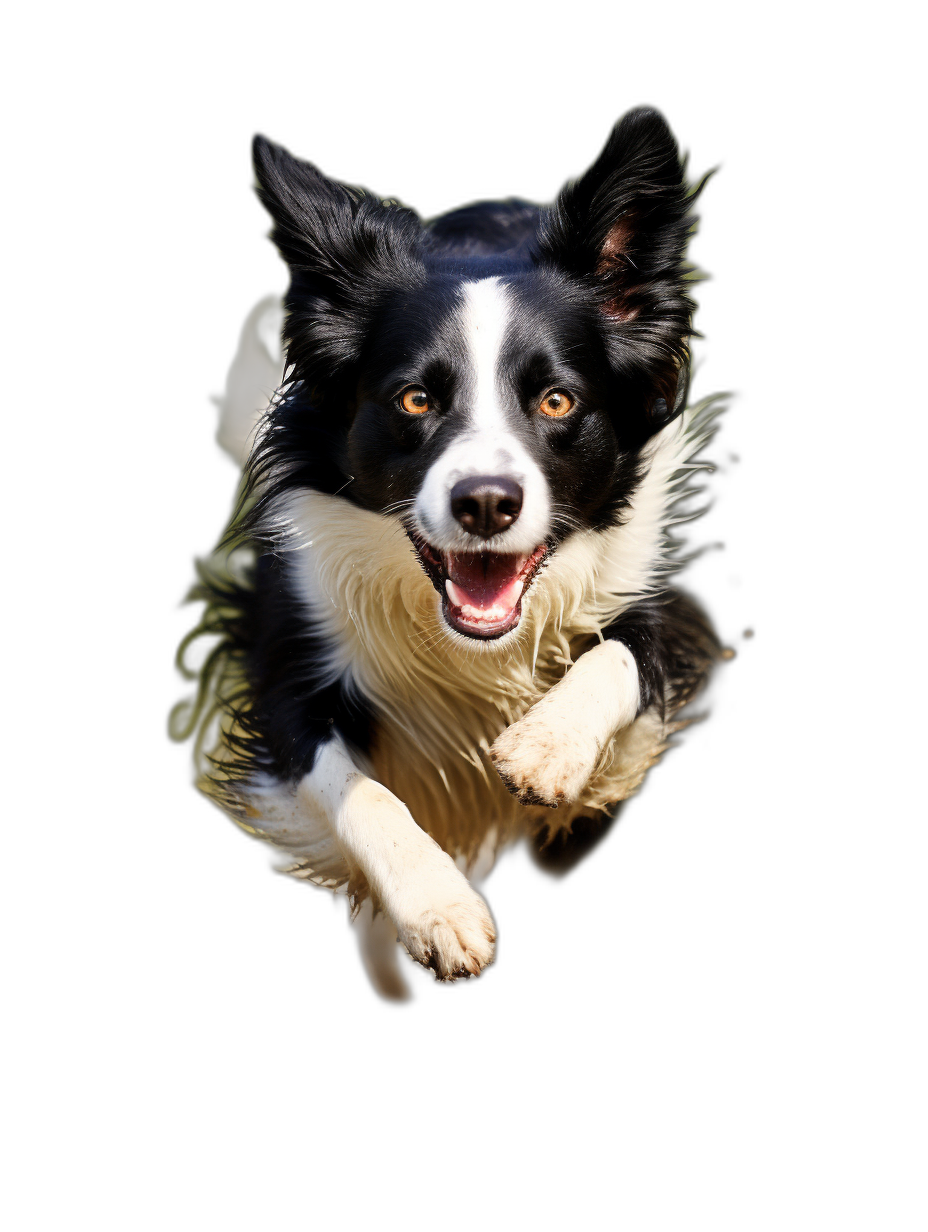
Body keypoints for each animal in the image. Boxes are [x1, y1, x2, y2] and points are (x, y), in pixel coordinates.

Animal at [172, 108, 724, 1000]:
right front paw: (439, 909)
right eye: (415, 399)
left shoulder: (658, 602)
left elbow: (619, 657)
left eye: (557, 401)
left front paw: (547, 749)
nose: (487, 503)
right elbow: (357, 788)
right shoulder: (283, 663)